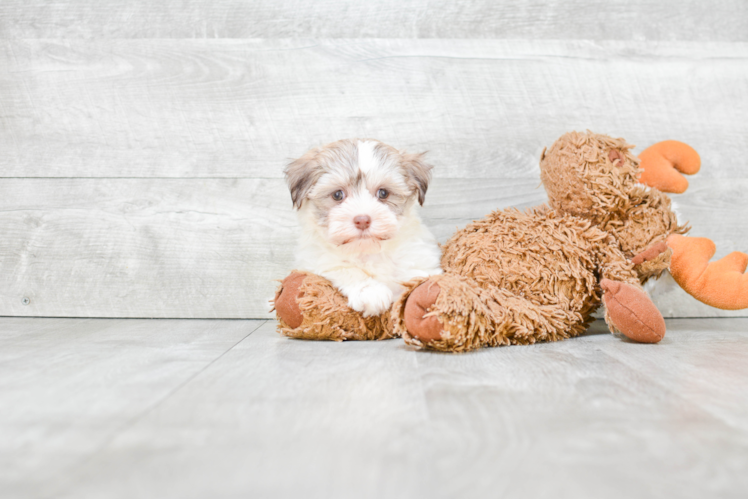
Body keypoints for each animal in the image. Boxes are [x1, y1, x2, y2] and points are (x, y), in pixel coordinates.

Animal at [284, 138, 442, 316]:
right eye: (337, 195)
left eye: (383, 193)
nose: (362, 220)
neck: (367, 251)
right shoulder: (314, 260)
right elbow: (342, 267)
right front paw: (370, 292)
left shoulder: (419, 256)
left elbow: (418, 275)